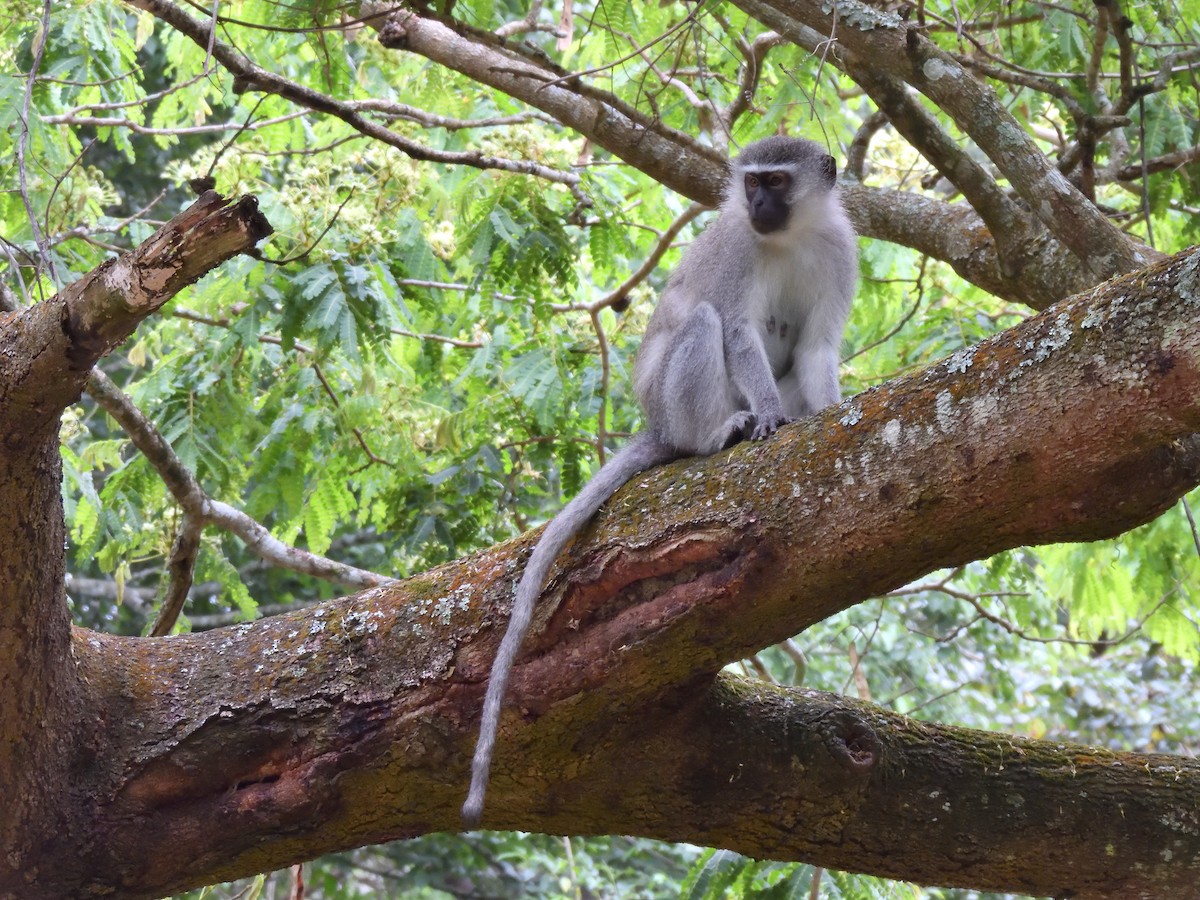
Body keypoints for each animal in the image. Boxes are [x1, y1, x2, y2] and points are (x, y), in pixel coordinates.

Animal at [462, 135, 858, 825]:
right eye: (751, 183)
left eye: (777, 182)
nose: (756, 206)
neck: (791, 237)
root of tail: (656, 423)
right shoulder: (736, 251)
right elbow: (736, 329)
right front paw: (769, 416)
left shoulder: (838, 251)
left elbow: (816, 352)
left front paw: (831, 411)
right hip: (674, 402)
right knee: (701, 321)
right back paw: (717, 435)